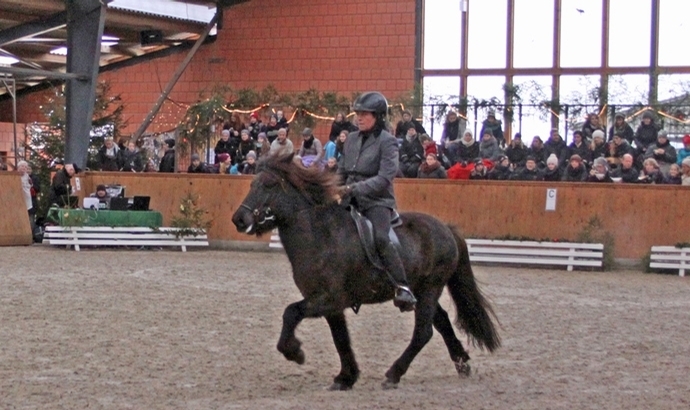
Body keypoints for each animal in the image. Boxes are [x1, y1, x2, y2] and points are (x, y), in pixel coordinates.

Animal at [231, 152, 500, 390]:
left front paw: (294, 352)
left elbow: (291, 313)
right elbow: (341, 339)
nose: (240, 219)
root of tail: (445, 228)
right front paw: (346, 377)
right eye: (253, 183)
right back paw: (462, 364)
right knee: (442, 322)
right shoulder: (330, 305)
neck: (321, 235)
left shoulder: (327, 299)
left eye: (269, 184)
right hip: (423, 292)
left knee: (423, 332)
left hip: (430, 289)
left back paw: (394, 374)